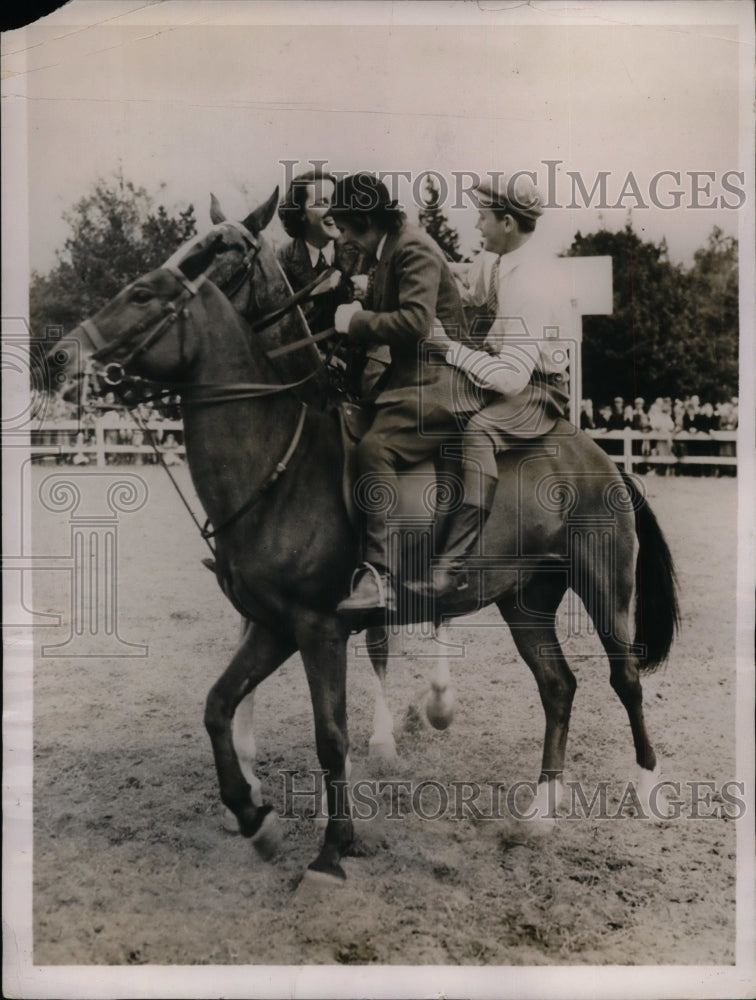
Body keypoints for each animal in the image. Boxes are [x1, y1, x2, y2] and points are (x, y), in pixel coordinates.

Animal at [59, 199, 680, 888]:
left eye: (144, 293)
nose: (61, 354)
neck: (281, 460)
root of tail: (602, 458)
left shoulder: (319, 627)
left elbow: (331, 735)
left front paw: (333, 849)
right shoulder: (273, 624)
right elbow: (218, 705)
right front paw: (253, 816)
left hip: (604, 583)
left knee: (625, 677)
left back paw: (648, 791)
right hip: (525, 599)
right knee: (558, 686)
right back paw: (540, 812)